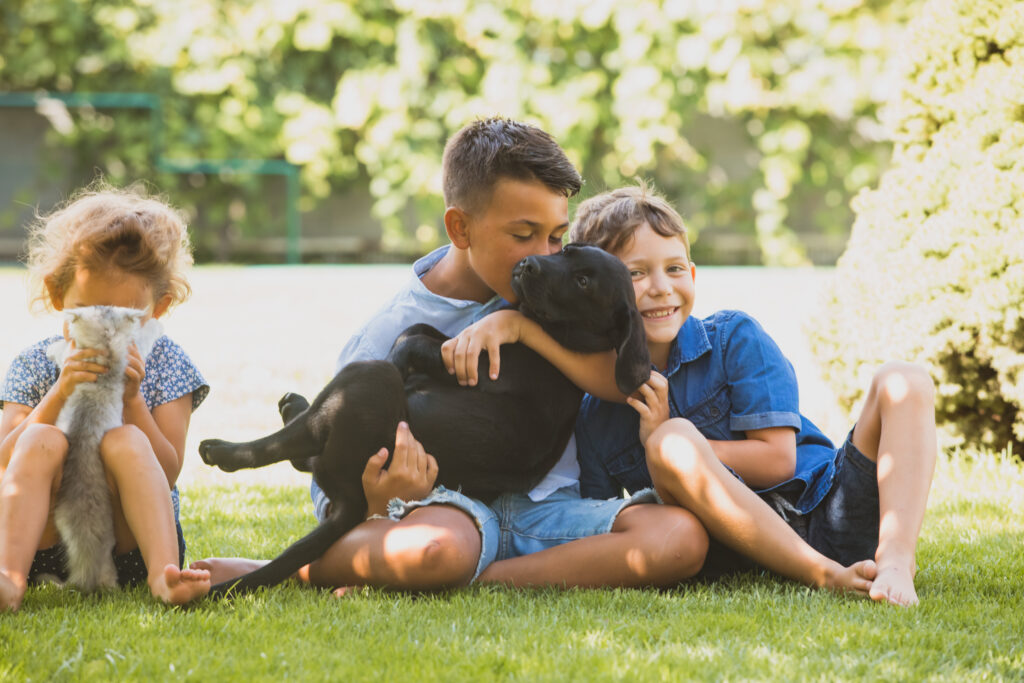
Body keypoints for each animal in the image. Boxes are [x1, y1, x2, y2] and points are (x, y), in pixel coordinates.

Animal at [198, 242, 647, 593]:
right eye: (565, 250)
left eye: (584, 283)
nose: (529, 263)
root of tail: (350, 500)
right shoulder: (452, 343)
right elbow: (420, 328)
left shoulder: (474, 366)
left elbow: (414, 343)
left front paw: (403, 362)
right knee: (303, 451)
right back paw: (295, 405)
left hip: (366, 383)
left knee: (292, 442)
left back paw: (223, 449)